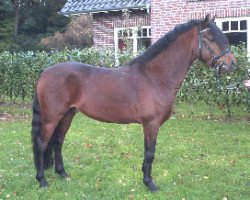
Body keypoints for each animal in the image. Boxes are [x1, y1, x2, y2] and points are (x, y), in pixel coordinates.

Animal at [31, 14, 236, 191]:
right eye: (211, 38)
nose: (233, 64)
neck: (155, 77)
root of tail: (44, 73)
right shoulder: (151, 124)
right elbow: (150, 153)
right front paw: (150, 183)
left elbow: (147, 152)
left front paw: (145, 178)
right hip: (51, 117)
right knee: (42, 144)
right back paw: (42, 181)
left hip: (68, 115)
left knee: (57, 142)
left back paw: (62, 174)